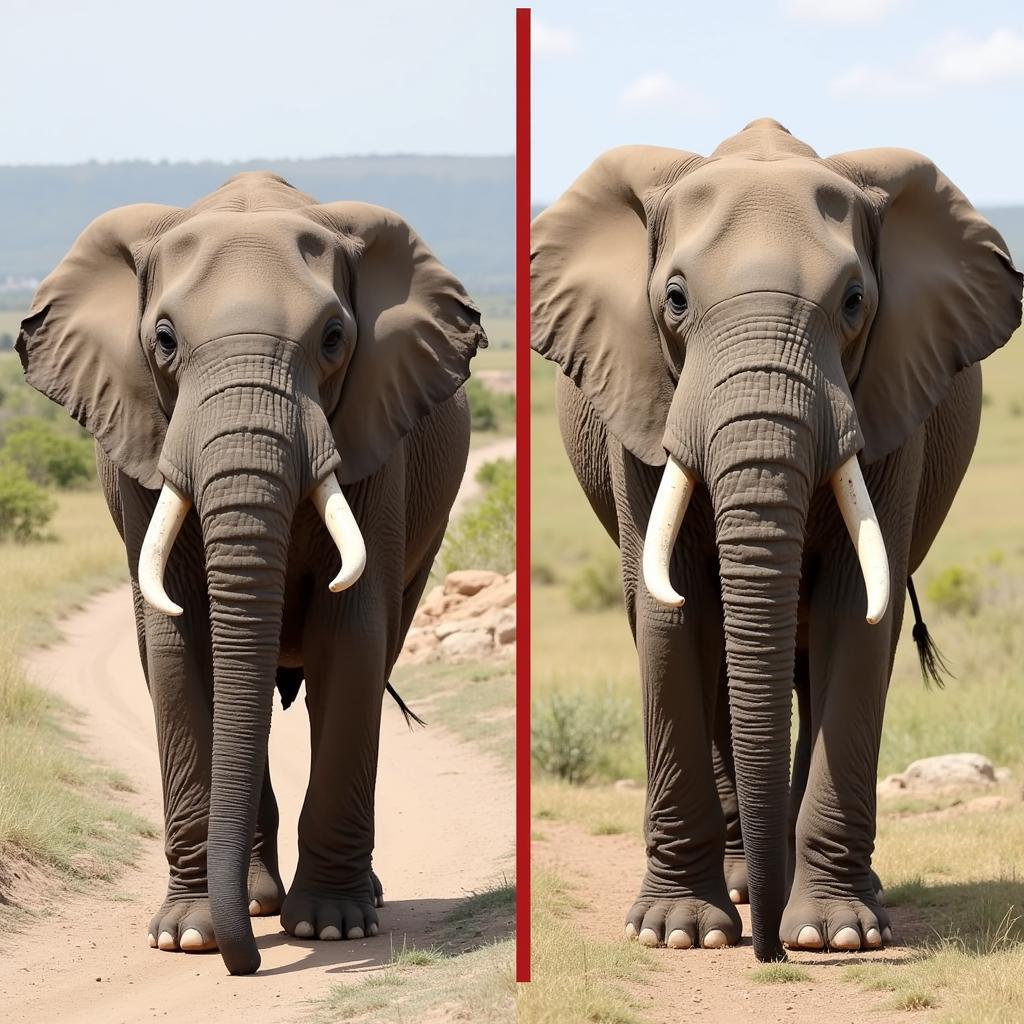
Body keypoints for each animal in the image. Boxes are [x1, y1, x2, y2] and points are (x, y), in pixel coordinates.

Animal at [19, 169, 487, 974]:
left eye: (334, 339)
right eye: (164, 340)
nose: (248, 965)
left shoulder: (375, 432)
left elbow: (351, 636)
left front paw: (332, 927)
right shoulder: (141, 440)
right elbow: (175, 646)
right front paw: (188, 936)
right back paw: (258, 898)